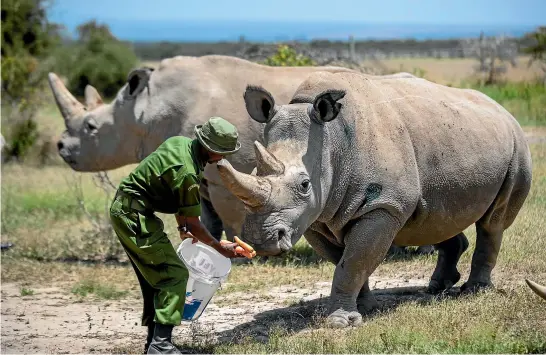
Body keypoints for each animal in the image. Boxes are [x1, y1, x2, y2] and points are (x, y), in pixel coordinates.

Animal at [216, 71, 532, 330]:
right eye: (253, 172)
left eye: (305, 185)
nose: (261, 240)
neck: (332, 142)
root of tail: (501, 109)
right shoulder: (315, 216)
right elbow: (345, 261)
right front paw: (364, 309)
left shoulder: (383, 206)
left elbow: (354, 261)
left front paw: (340, 323)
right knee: (437, 216)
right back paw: (436, 287)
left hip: (517, 146)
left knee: (493, 222)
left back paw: (475, 290)